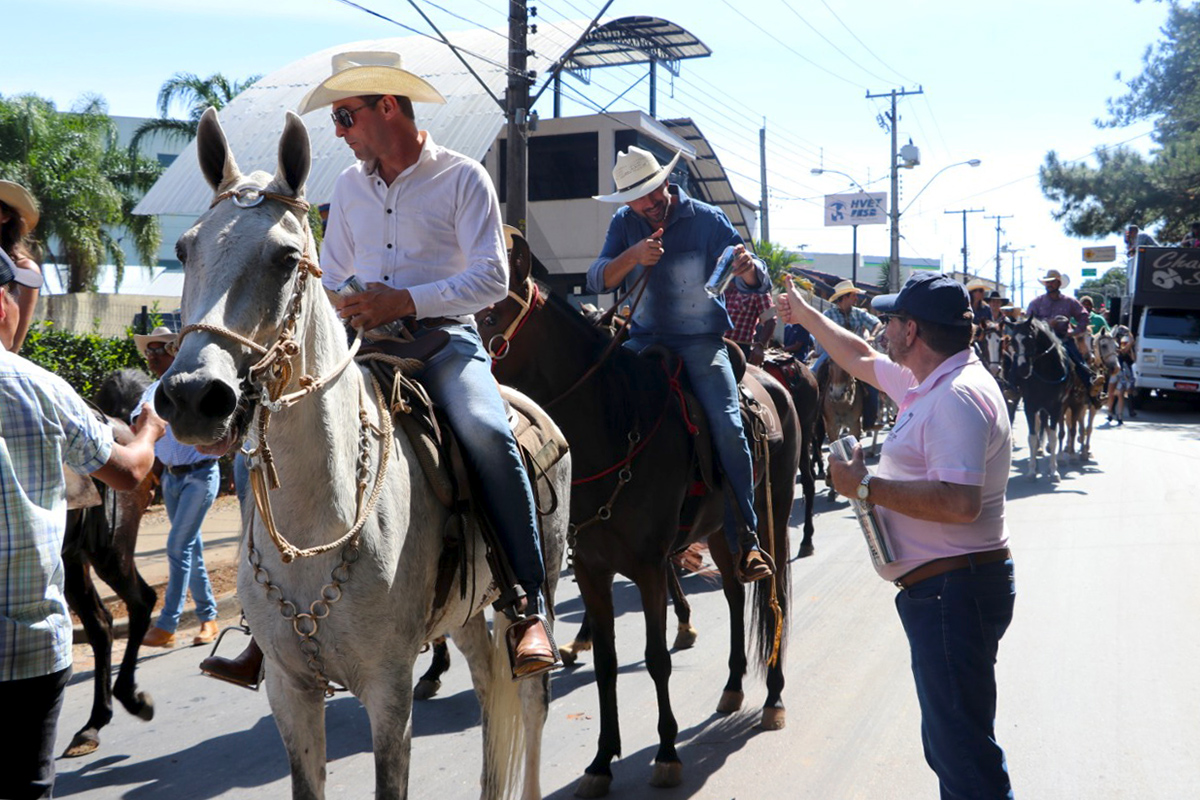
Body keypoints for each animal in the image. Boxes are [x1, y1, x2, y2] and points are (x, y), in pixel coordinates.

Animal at [60, 369, 158, 758]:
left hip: (110, 553)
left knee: (142, 601)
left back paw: (127, 698)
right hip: (72, 559)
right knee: (100, 624)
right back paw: (93, 723)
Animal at [157, 107, 568, 800]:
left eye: (285, 258)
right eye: (186, 250)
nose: (192, 396)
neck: (315, 522)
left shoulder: (389, 689)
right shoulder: (290, 693)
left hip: (544, 582)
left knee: (530, 698)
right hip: (464, 611)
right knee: (489, 688)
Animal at [475, 241, 796, 796]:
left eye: (492, 315)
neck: (616, 426)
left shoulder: (647, 567)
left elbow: (656, 657)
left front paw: (666, 753)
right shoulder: (592, 568)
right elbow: (605, 663)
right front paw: (602, 761)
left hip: (772, 520)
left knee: (770, 595)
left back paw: (773, 698)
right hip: (720, 530)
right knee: (736, 594)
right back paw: (733, 686)